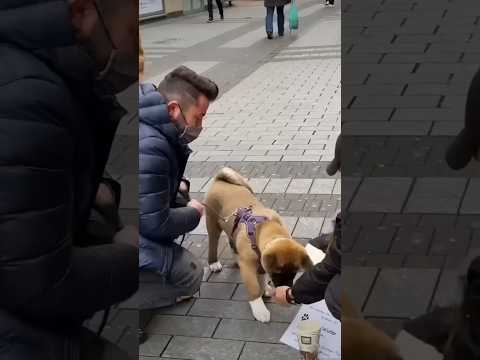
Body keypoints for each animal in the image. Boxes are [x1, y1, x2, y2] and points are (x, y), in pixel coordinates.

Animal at [204, 167, 314, 322]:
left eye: (294, 272)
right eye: (278, 272)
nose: (285, 289)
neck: (265, 227)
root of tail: (220, 179)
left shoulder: (261, 262)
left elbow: (261, 279)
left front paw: (265, 290)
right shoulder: (248, 266)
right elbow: (254, 287)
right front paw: (259, 308)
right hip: (212, 221)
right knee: (213, 241)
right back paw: (213, 263)